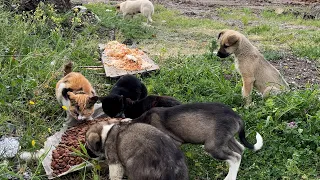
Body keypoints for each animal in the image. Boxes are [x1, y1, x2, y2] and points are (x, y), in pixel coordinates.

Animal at [132, 102, 262, 180]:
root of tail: (237, 117)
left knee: (236, 157)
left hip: (213, 146)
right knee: (240, 149)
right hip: (227, 139)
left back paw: (229, 178)